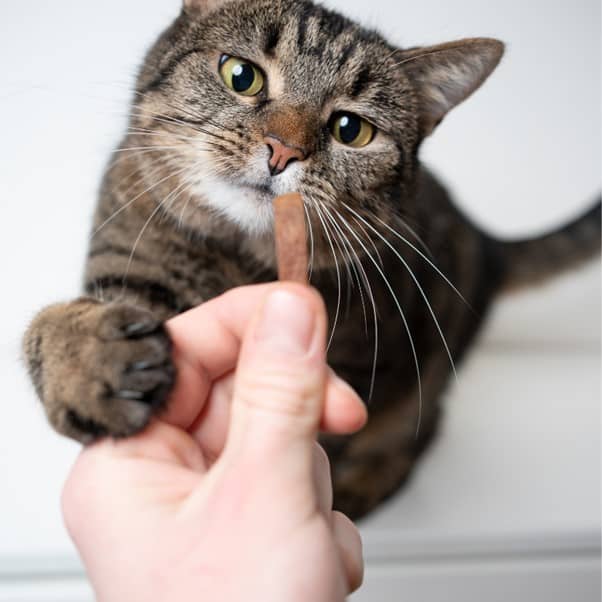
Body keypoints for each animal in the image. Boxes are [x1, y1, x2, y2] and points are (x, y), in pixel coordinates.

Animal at [22, 0, 596, 516]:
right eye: (241, 75)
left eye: (350, 129)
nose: (282, 151)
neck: (244, 264)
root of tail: (484, 236)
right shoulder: (133, 264)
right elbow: (49, 327)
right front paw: (85, 358)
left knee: (421, 431)